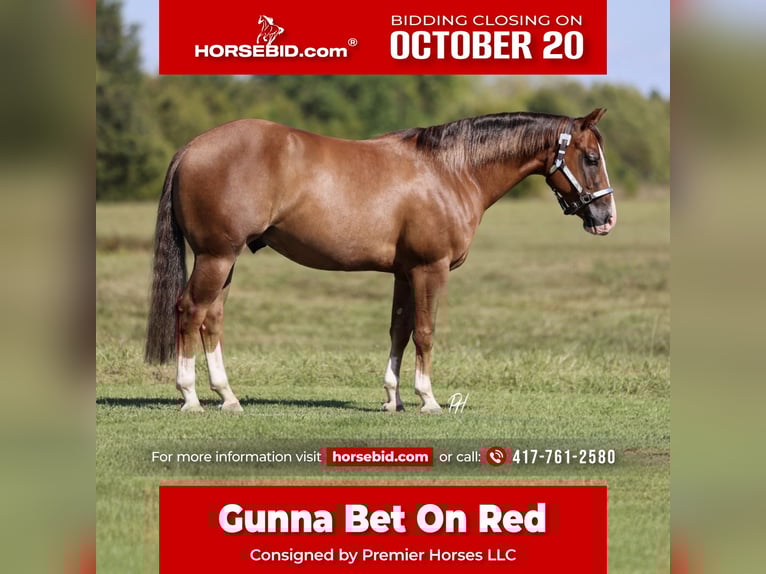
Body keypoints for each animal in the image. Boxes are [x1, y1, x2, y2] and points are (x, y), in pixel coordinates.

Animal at [145, 109, 616, 414]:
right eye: (591, 158)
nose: (606, 218)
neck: (449, 171)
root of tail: (191, 148)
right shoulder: (430, 269)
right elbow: (425, 332)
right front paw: (428, 399)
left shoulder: (405, 273)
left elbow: (399, 331)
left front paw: (394, 398)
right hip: (216, 256)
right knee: (190, 311)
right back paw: (189, 397)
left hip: (225, 260)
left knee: (212, 319)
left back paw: (227, 397)